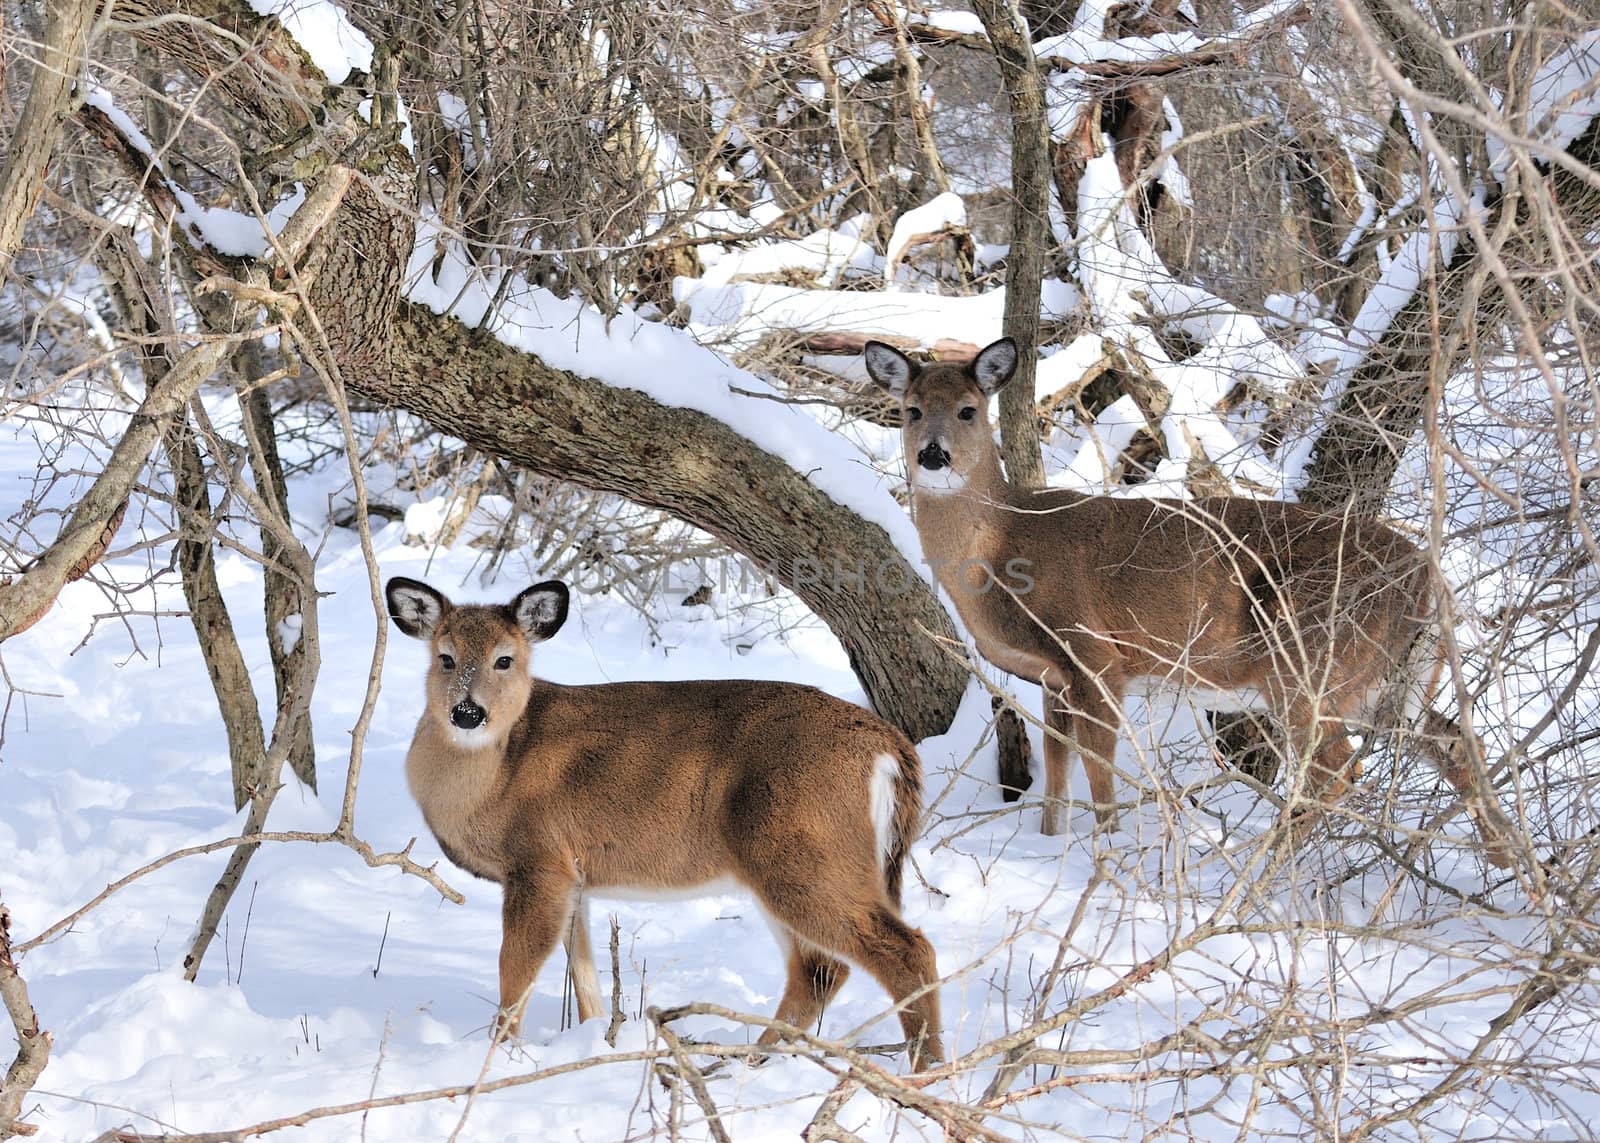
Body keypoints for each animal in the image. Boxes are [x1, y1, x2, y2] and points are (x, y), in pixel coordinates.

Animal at [380, 579, 940, 1069]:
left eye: (505, 659)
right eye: (445, 657)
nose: (467, 712)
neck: (497, 774)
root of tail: (891, 749)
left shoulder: (538, 860)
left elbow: (514, 972)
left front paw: (499, 1059)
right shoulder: (574, 875)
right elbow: (584, 976)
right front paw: (594, 1042)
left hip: (806, 852)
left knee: (905, 950)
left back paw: (926, 1070)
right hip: (794, 865)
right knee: (820, 970)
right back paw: (750, 1059)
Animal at [870, 334, 1516, 870]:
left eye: (968, 410)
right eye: (911, 410)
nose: (933, 455)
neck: (1004, 546)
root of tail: (1429, 580)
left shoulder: (1096, 656)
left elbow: (1100, 777)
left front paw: (1106, 860)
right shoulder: (1054, 678)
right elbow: (1056, 780)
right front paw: (1051, 846)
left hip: (1310, 665)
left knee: (1338, 772)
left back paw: (1261, 872)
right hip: (1388, 680)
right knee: (1455, 740)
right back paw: (1507, 864)